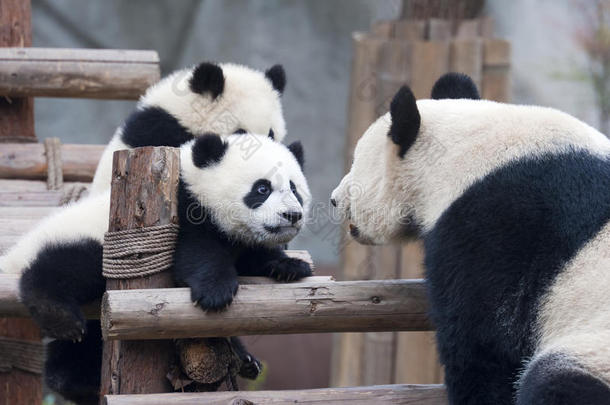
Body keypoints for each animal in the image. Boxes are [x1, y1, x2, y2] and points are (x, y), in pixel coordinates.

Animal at [1, 132, 308, 400]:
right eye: (262, 188)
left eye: (294, 188)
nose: (292, 215)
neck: (193, 181)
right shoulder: (183, 209)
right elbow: (196, 253)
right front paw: (215, 291)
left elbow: (254, 255)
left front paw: (290, 265)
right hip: (84, 245)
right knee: (61, 270)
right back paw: (62, 322)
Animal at [332, 73, 608, 404]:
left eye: (355, 163)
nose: (334, 200)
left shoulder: (494, 226)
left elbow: (482, 342)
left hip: (594, 350)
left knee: (555, 382)